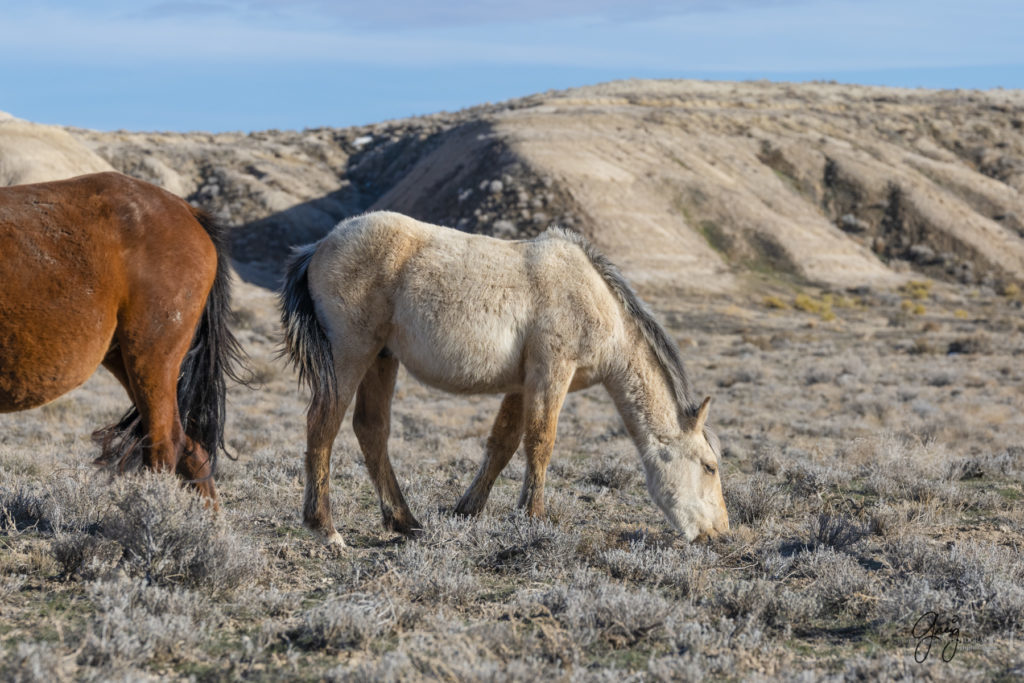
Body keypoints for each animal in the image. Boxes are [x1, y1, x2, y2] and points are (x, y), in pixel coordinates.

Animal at [280, 210, 729, 548]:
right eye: (709, 466)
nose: (721, 533)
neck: (596, 299)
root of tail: (318, 247)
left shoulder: (522, 384)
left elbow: (503, 444)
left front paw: (467, 510)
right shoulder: (552, 372)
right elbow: (540, 443)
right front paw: (533, 517)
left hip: (382, 359)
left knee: (371, 429)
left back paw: (405, 521)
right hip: (350, 354)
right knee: (323, 426)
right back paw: (326, 530)